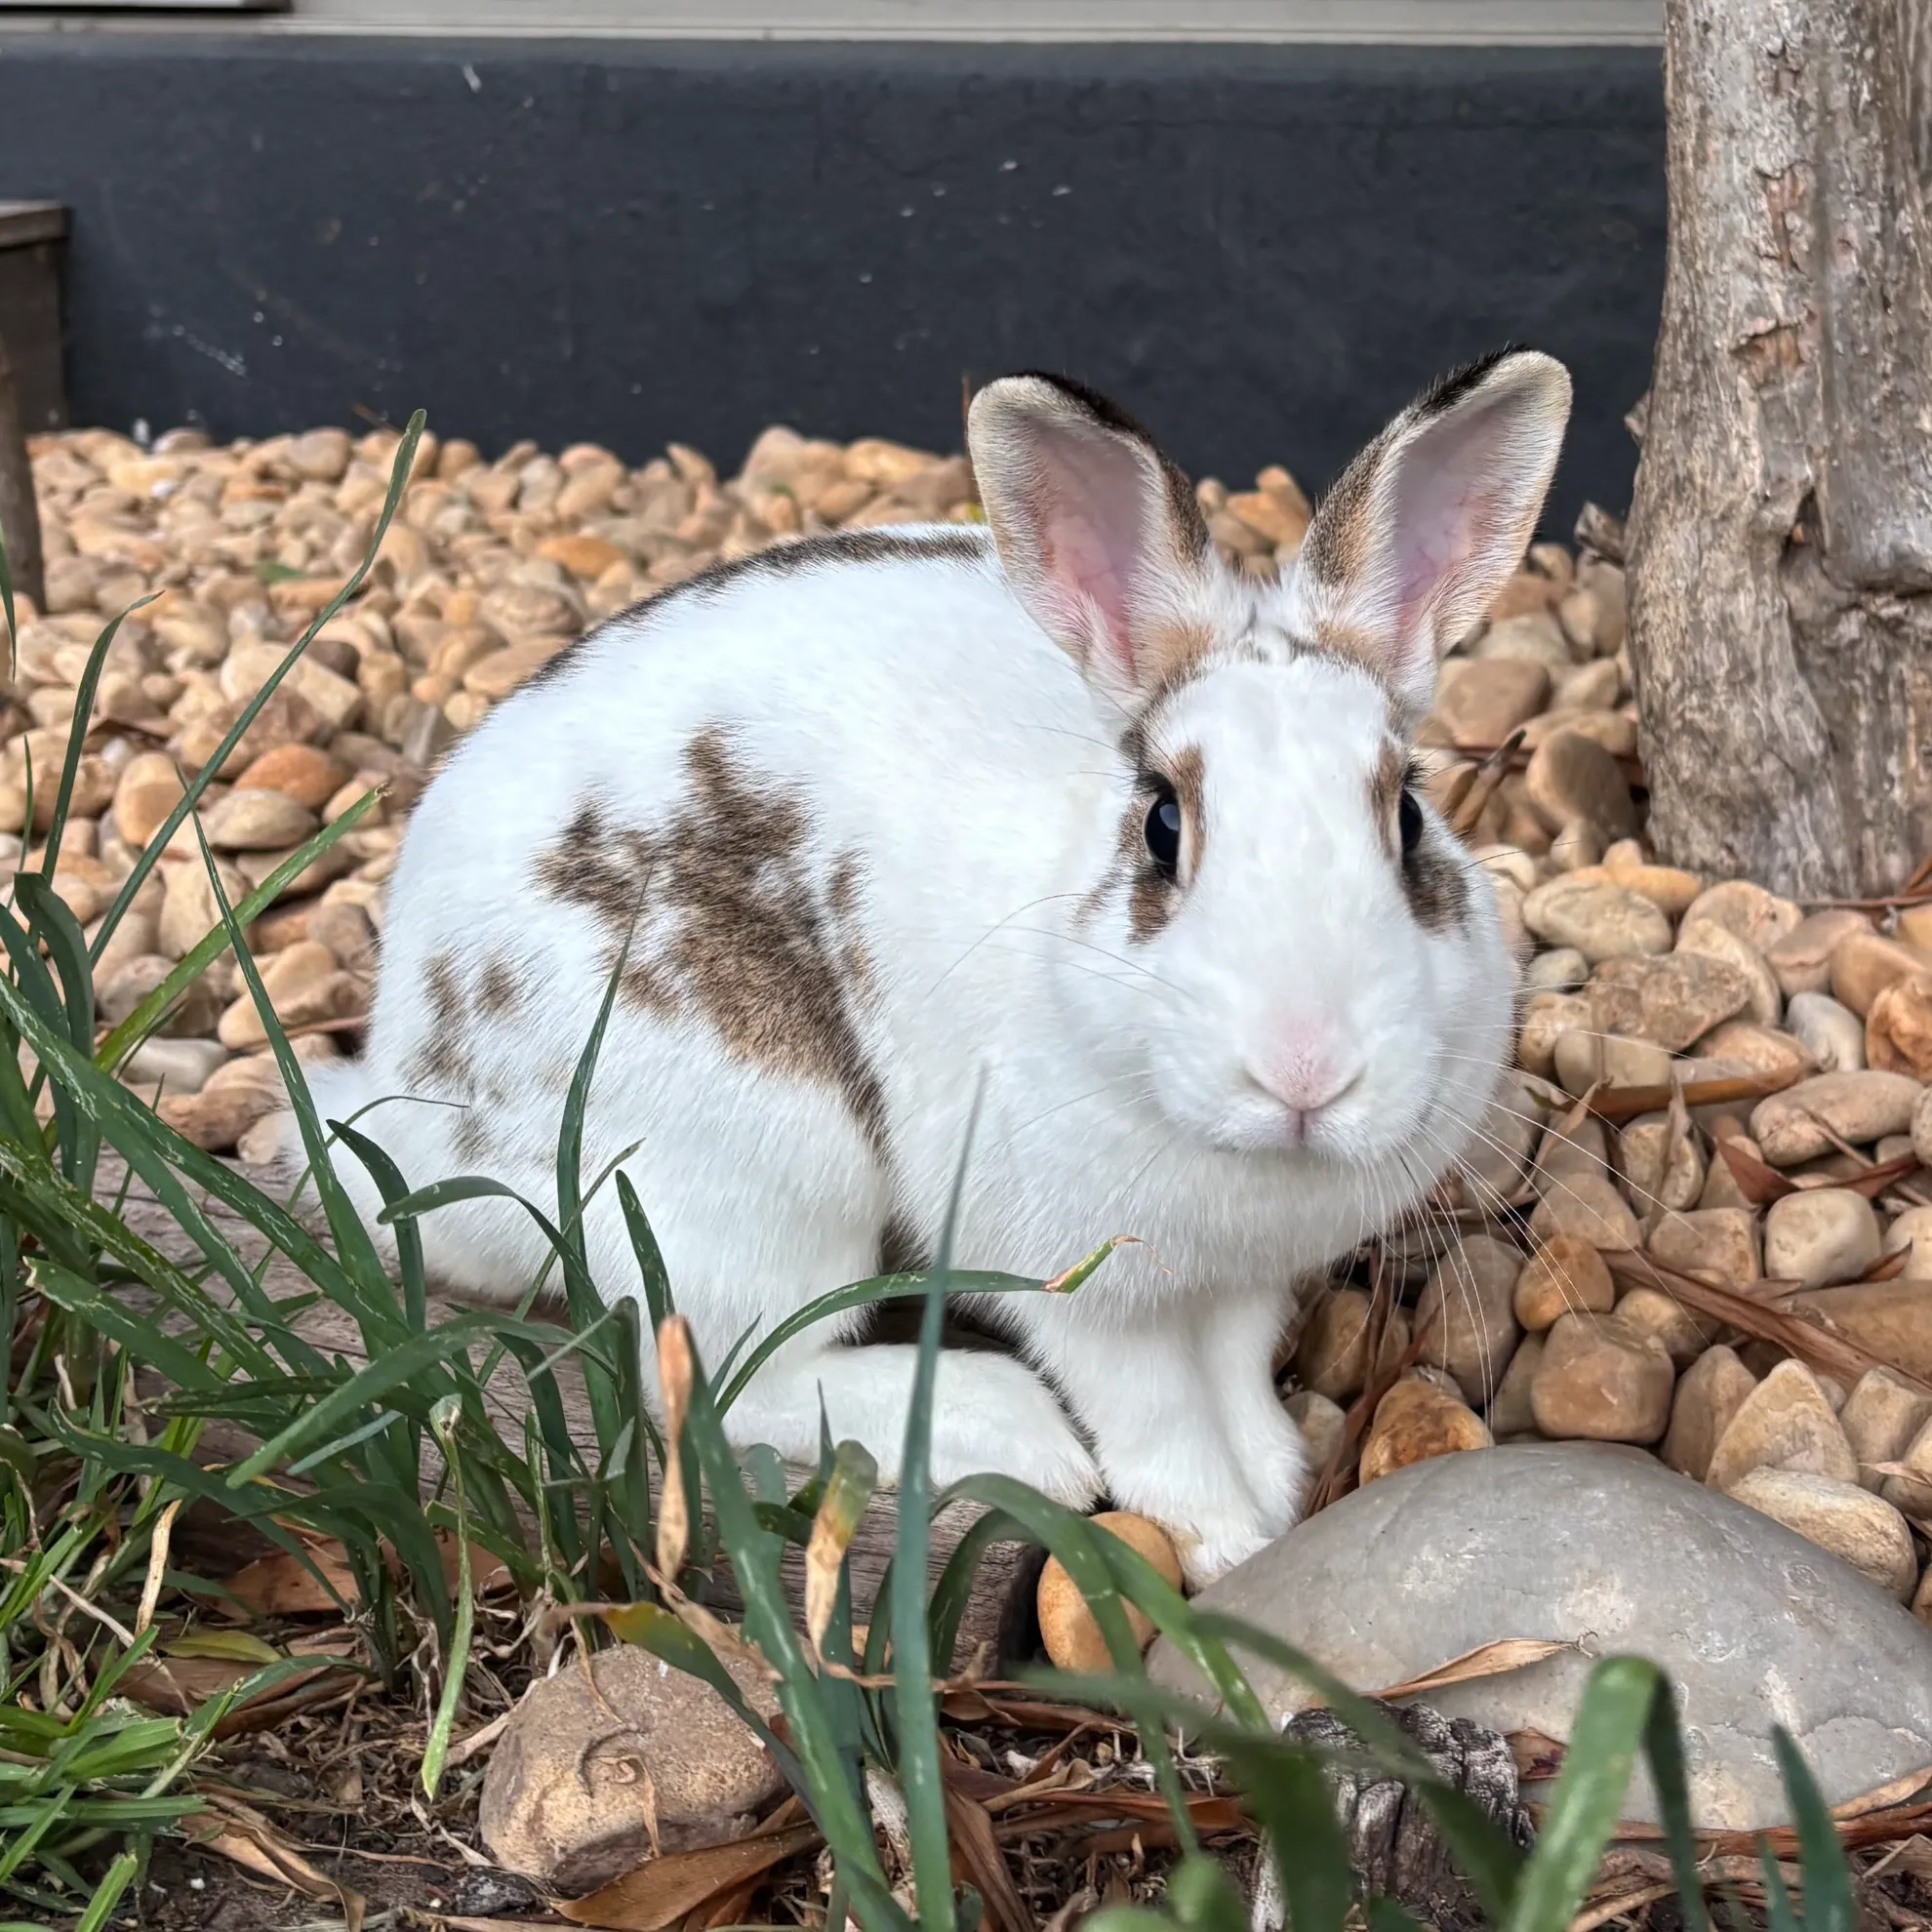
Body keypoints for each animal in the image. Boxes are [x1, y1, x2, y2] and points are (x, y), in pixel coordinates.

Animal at [294, 346, 1570, 1586]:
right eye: (1163, 823)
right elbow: (1152, 1413)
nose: (1305, 1072)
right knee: (725, 1382)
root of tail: (417, 1105)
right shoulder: (1082, 1291)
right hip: (744, 1182)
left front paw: (1275, 1479)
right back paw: (1010, 1431)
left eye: (1408, 817)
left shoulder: (1242, 1283)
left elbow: (1234, 1372)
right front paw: (1224, 1537)